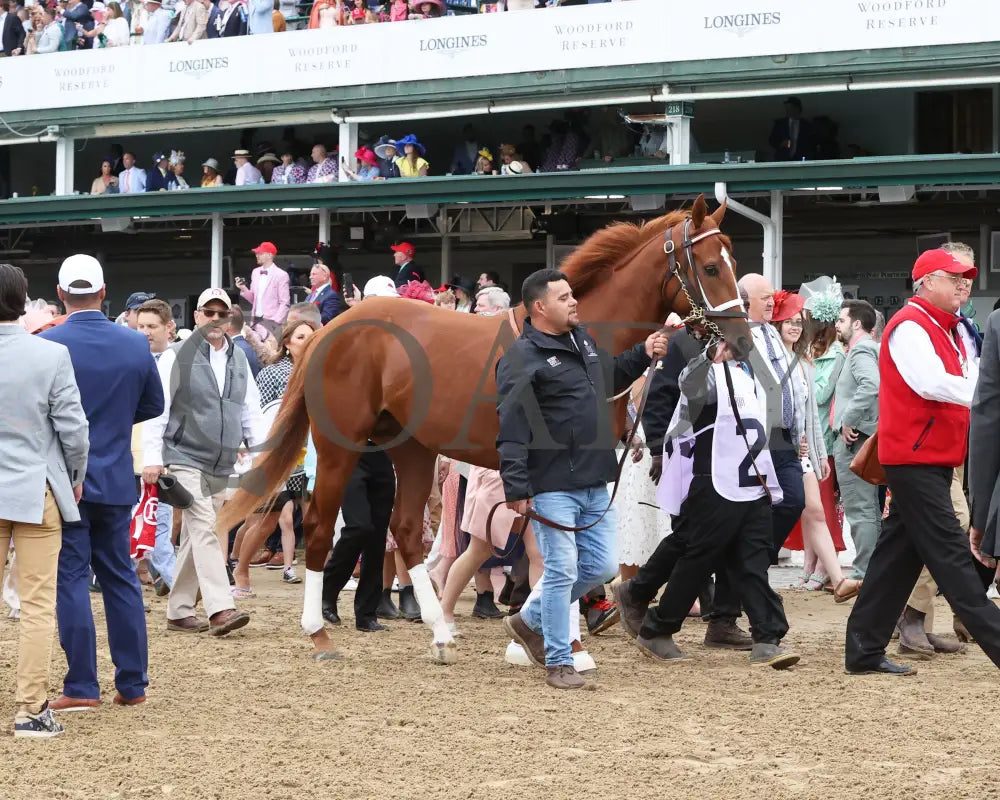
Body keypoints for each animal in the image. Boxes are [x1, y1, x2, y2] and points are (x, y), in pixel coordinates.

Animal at [219, 194, 752, 664]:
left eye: (732, 261)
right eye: (710, 268)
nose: (742, 340)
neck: (574, 341)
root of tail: (327, 332)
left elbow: (560, 556)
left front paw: (541, 636)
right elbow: (560, 557)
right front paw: (554, 640)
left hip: (412, 448)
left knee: (406, 530)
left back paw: (439, 634)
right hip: (338, 447)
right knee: (320, 527)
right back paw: (320, 633)